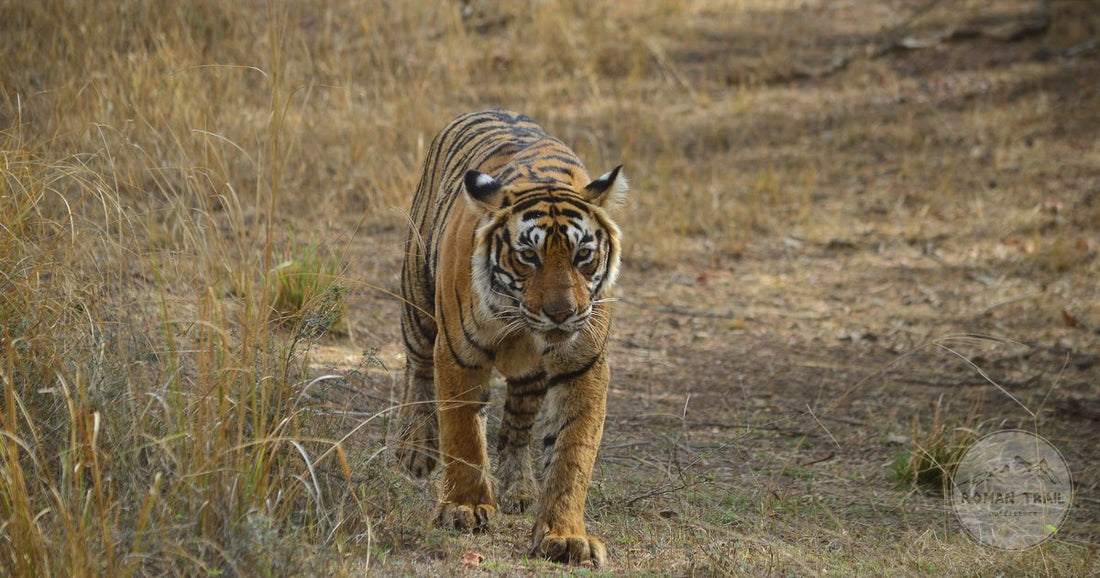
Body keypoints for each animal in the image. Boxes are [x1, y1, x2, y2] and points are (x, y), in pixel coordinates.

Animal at [392, 109, 626, 567]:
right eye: (528, 256)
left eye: (583, 256)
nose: (561, 313)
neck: (522, 326)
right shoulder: (458, 354)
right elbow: (463, 433)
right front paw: (464, 508)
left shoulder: (584, 366)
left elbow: (572, 454)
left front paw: (565, 535)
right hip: (419, 305)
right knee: (417, 370)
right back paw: (416, 449)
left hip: (530, 378)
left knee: (516, 429)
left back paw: (520, 489)